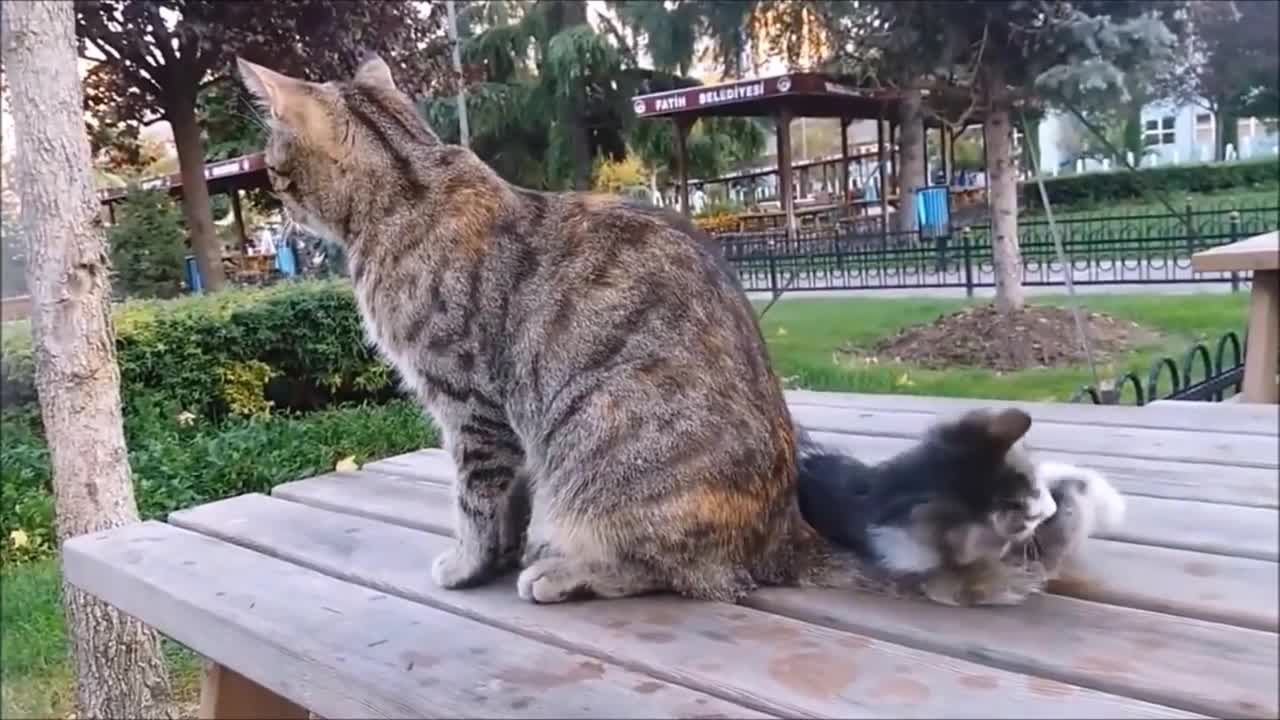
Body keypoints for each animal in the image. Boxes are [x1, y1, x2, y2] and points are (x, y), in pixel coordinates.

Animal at [235, 53, 865, 599]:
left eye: (273, 166)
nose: (278, 203)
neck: (406, 181)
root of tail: (786, 538)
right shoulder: (505, 424)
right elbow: (508, 502)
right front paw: (500, 554)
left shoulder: (469, 405)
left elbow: (473, 502)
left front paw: (467, 564)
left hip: (599, 444)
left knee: (671, 570)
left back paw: (565, 572)